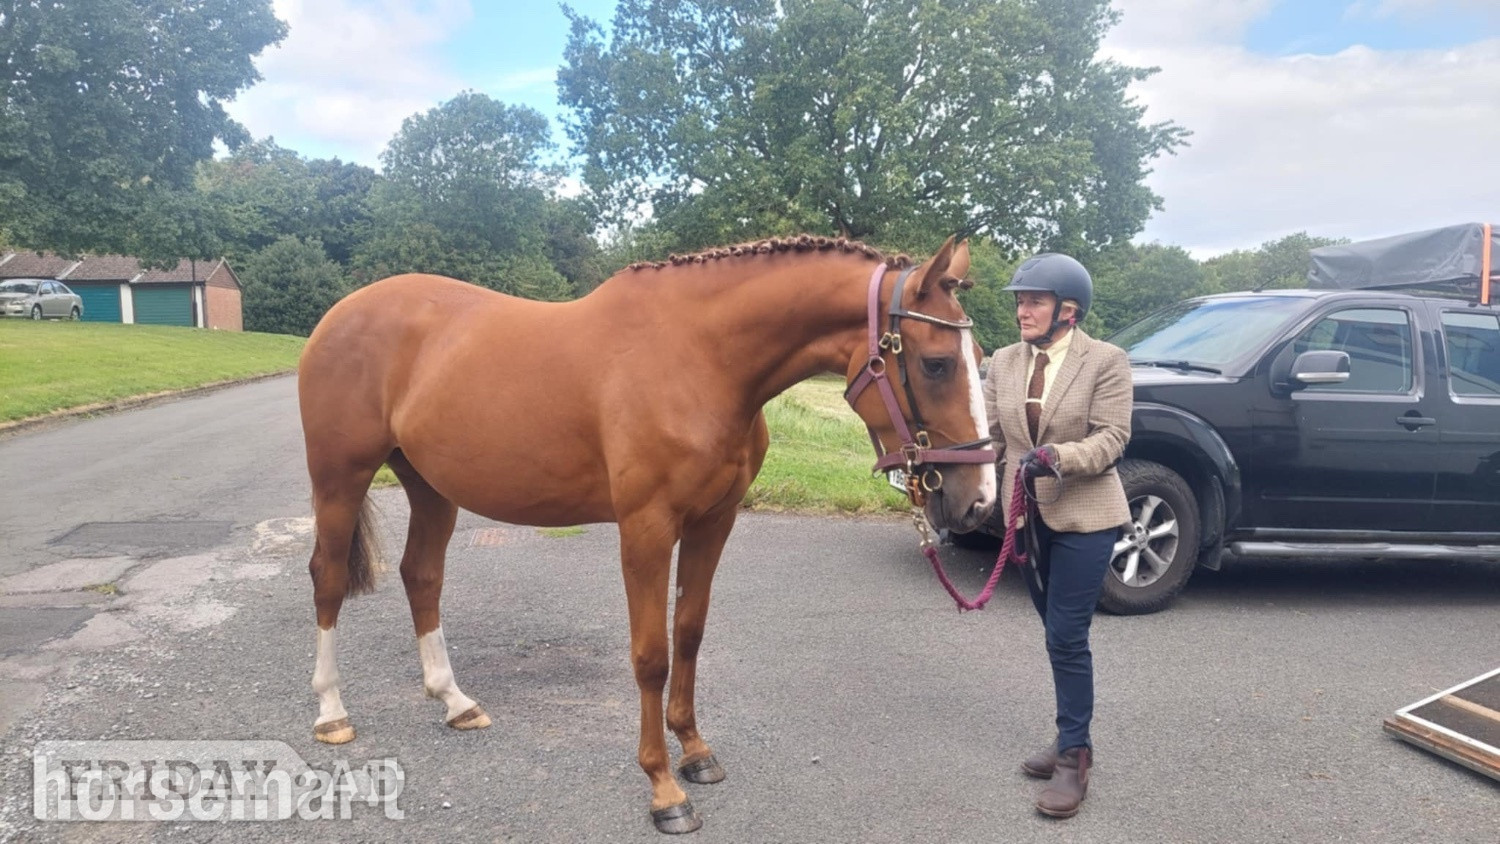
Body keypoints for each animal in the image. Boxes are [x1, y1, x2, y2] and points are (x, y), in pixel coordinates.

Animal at [295, 234, 997, 834]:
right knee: (326, 580)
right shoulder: (646, 529)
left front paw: (695, 751)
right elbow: (651, 654)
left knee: (422, 575)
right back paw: (332, 713)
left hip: (431, 487)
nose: (980, 501)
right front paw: (664, 789)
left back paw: (454, 700)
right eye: (936, 364)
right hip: (340, 478)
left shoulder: (714, 522)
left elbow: (689, 633)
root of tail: (340, 313)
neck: (699, 356)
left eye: (978, 360)